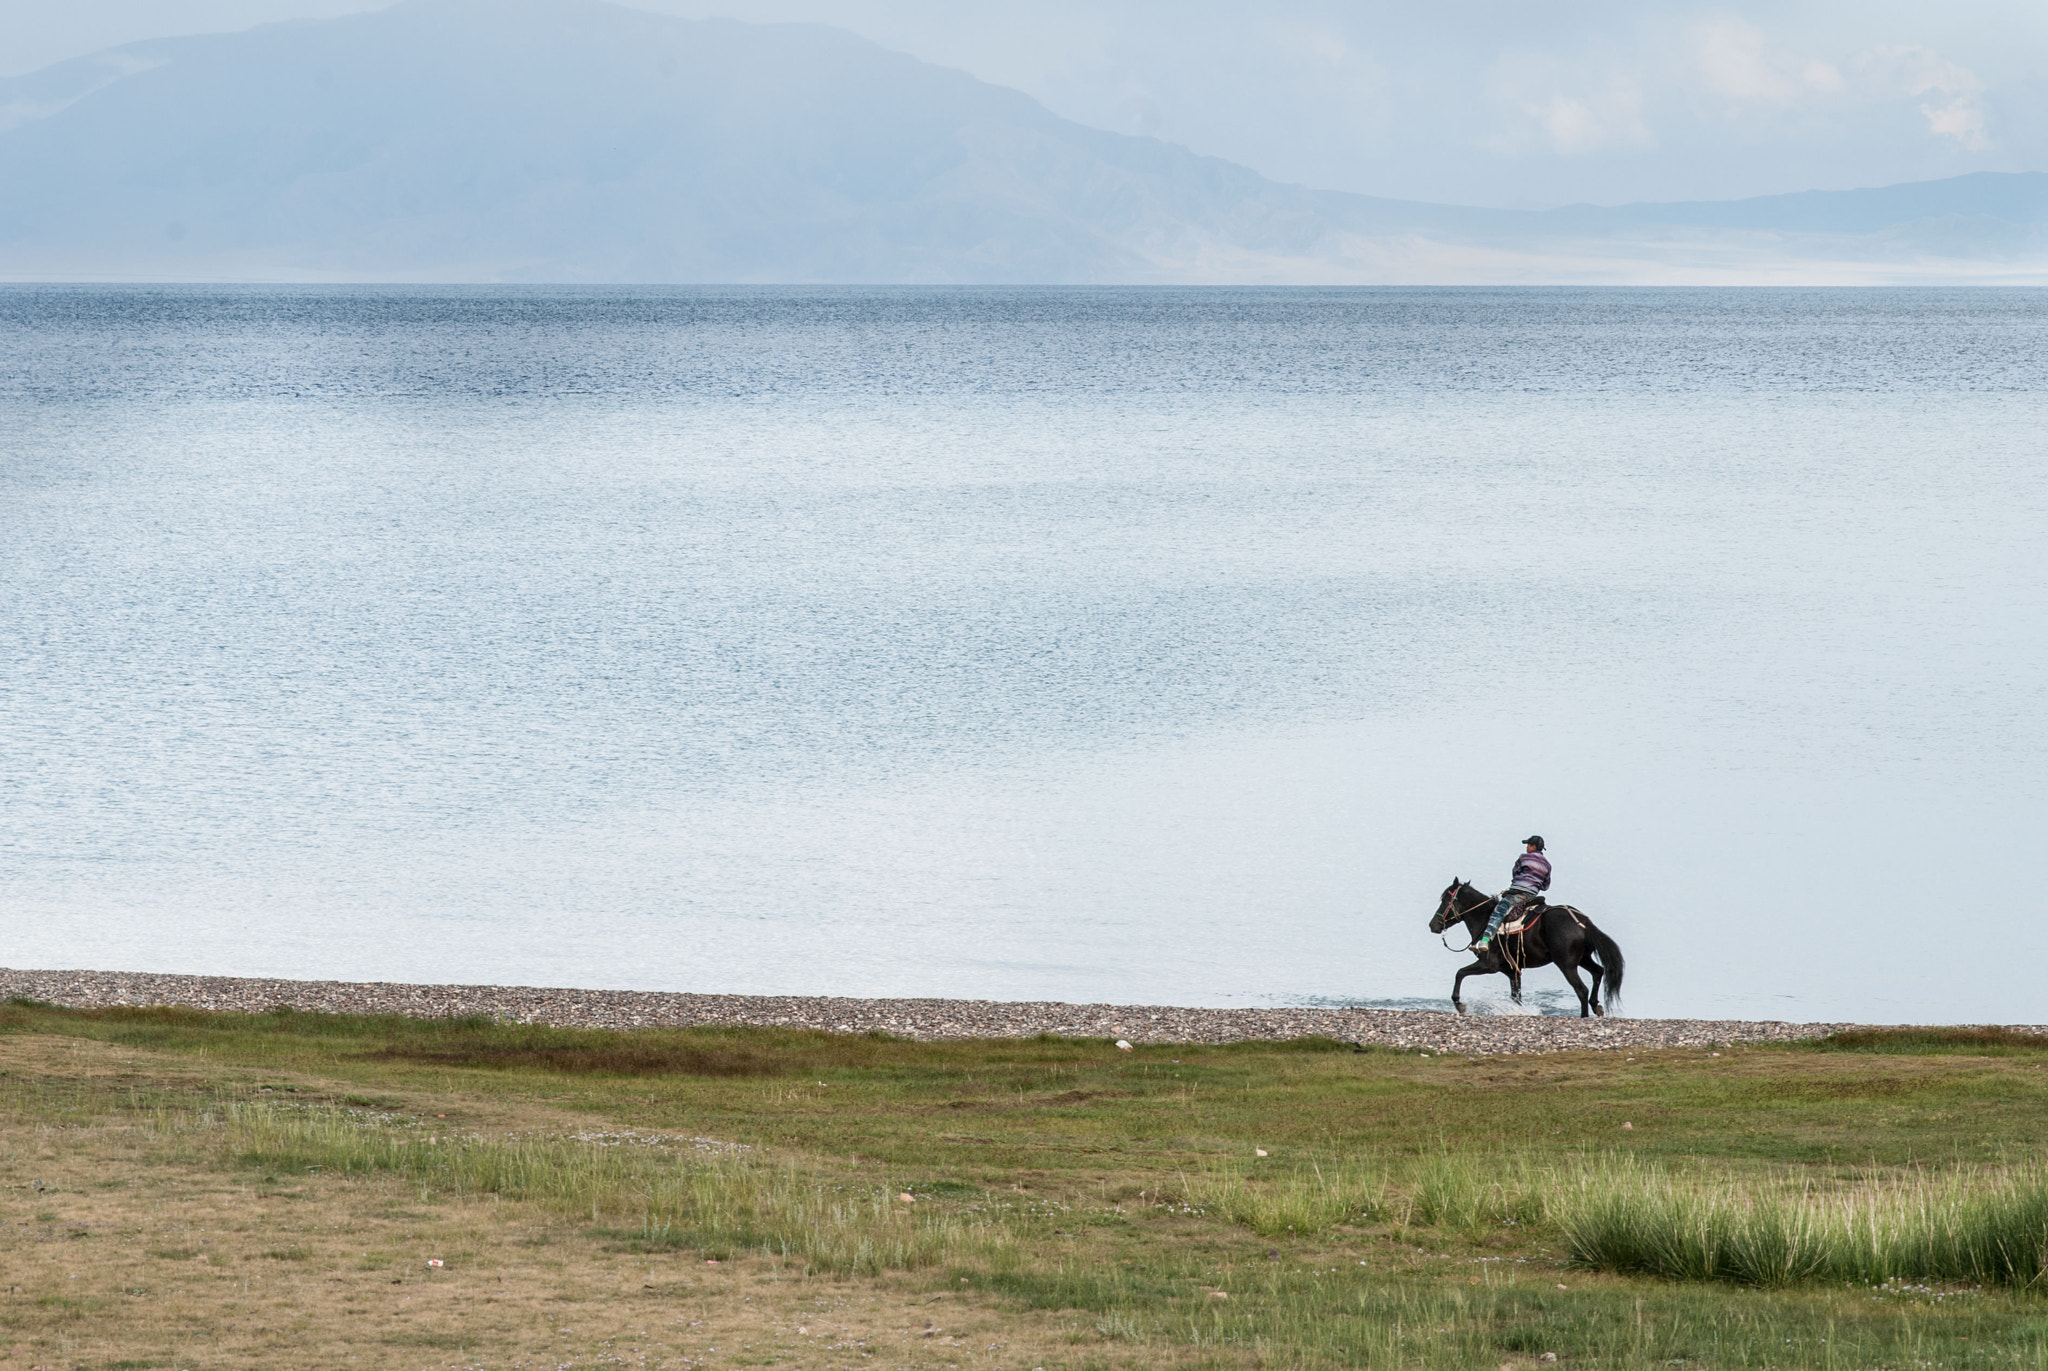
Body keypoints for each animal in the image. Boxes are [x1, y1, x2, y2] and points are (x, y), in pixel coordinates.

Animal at [1425, 877, 1630, 1016]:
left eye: (1445, 900)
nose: (1433, 925)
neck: (1484, 918)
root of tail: (1582, 921)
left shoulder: (1489, 965)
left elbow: (1459, 973)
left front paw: (1460, 1005)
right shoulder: (1512, 971)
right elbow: (1516, 997)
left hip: (1567, 964)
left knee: (1582, 989)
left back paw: (1584, 1015)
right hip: (1583, 958)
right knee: (1598, 972)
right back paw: (1597, 1006)